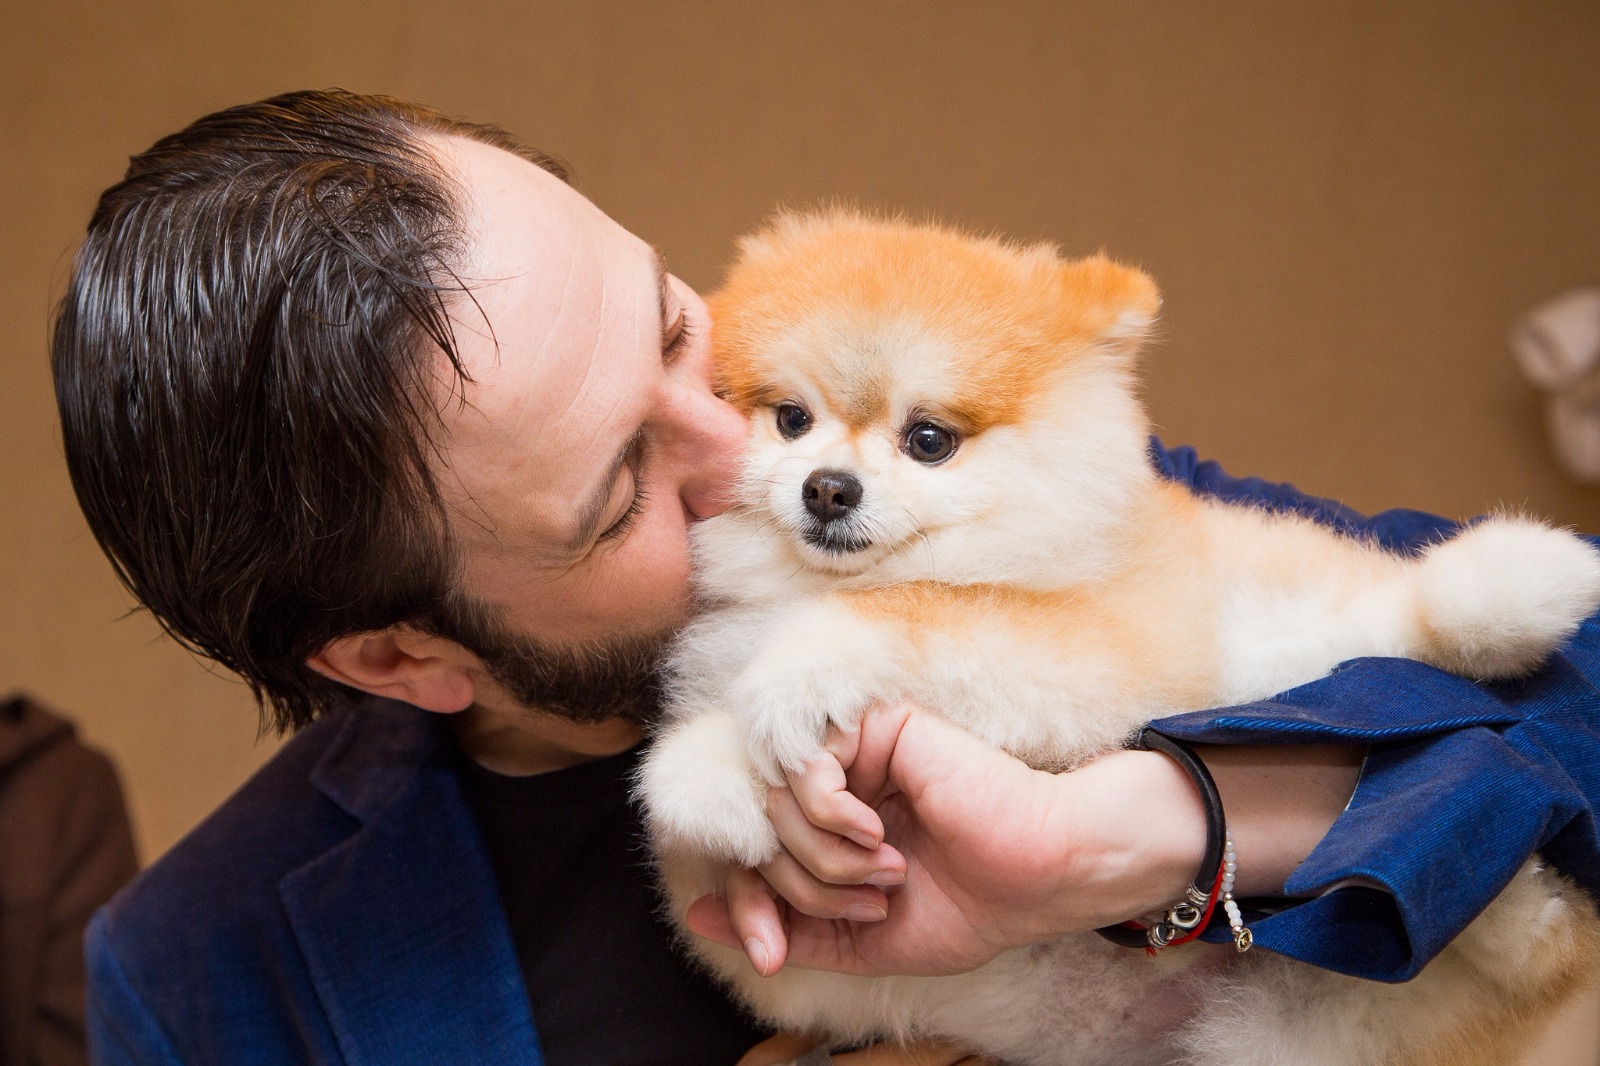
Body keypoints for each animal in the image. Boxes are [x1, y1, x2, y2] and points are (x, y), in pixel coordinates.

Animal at [633, 209, 1600, 1062]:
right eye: (791, 419)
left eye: (929, 439)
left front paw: (797, 673)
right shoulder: (765, 949)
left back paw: (1522, 593)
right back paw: (1517, 904)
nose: (828, 488)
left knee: (1413, 637)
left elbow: (915, 609)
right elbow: (681, 796)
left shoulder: (1095, 647)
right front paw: (720, 781)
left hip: (1276, 611)